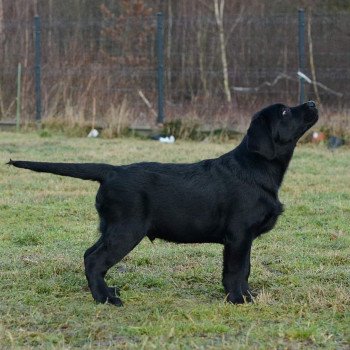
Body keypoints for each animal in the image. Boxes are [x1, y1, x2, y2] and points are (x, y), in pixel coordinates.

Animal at [8, 100, 320, 304]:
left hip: (112, 227)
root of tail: (111, 170)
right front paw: (237, 299)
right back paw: (105, 299)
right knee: (95, 260)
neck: (257, 167)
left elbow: (245, 269)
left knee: (89, 254)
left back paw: (108, 292)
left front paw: (247, 294)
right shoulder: (239, 235)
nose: (312, 102)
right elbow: (235, 270)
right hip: (127, 229)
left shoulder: (245, 239)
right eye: (284, 111)